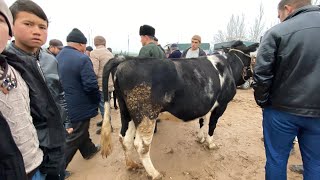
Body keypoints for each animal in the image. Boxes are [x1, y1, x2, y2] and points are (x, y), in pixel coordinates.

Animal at [101, 40, 258, 179]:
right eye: (252, 58)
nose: (253, 77)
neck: (228, 66)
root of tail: (125, 59)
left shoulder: (208, 104)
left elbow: (203, 120)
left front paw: (200, 138)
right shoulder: (222, 104)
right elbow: (212, 125)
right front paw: (211, 143)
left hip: (127, 112)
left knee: (125, 138)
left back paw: (131, 164)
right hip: (146, 114)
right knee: (141, 145)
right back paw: (154, 173)